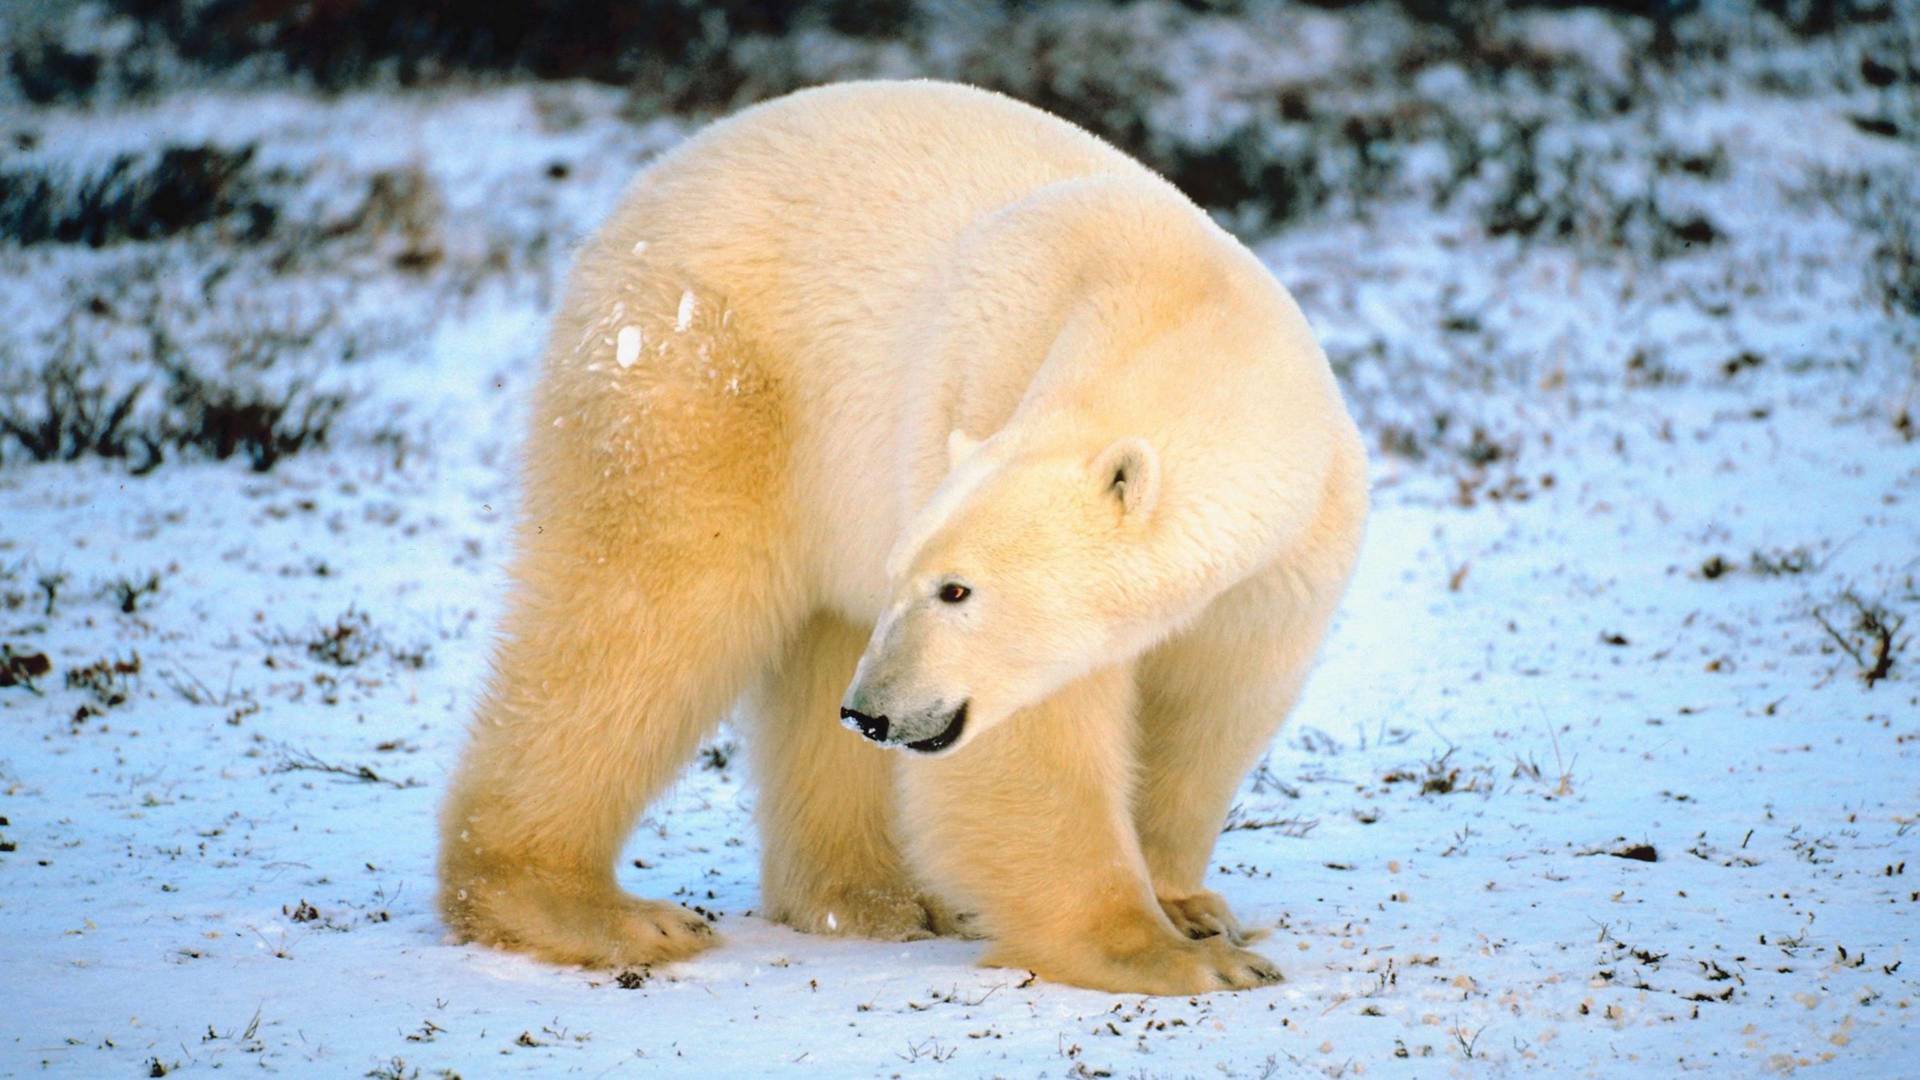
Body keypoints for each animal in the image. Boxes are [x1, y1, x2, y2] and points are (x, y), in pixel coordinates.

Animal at [439, 82, 1367, 991]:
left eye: (954, 589)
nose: (875, 712)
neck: (1178, 302)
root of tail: (653, 179)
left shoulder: (1288, 552)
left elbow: (1214, 705)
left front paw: (1193, 908)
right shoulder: (989, 386)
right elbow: (1033, 740)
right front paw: (1175, 955)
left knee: (812, 646)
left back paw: (871, 897)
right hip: (703, 376)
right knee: (646, 614)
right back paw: (595, 908)